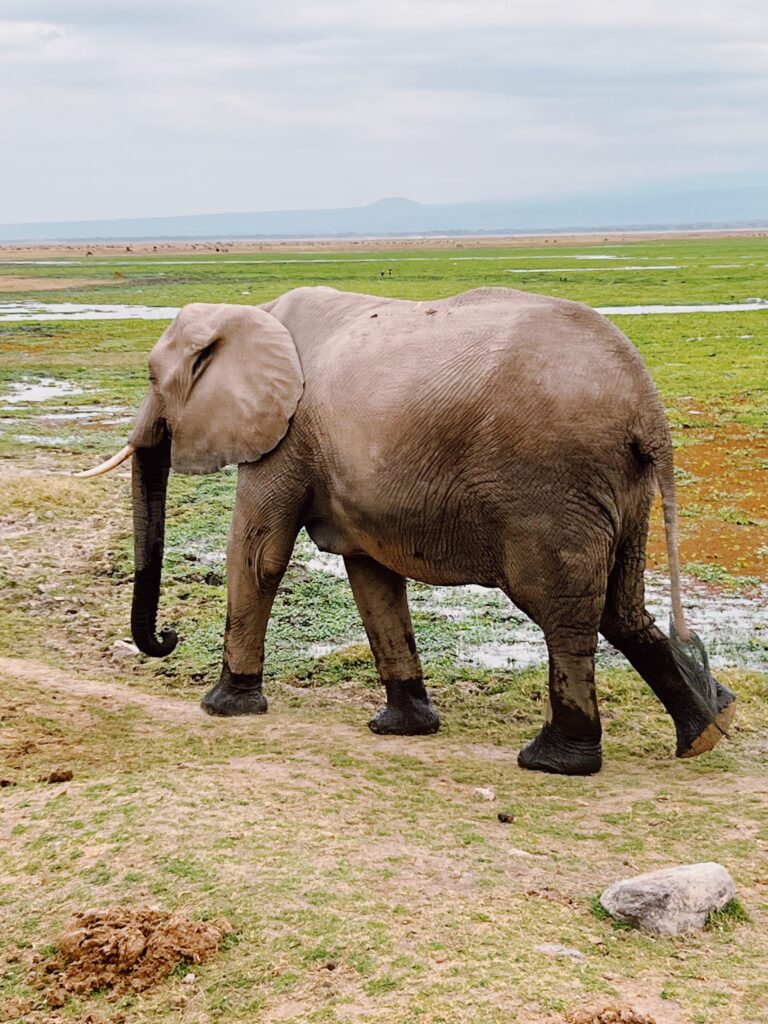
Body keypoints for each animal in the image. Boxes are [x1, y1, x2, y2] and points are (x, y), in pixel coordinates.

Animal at [81, 284, 737, 770]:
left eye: (152, 378)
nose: (166, 638)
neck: (249, 313)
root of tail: (647, 407)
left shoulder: (287, 438)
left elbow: (258, 553)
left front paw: (222, 706)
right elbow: (371, 578)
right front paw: (401, 727)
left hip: (553, 483)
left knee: (564, 608)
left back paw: (554, 761)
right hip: (618, 486)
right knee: (620, 606)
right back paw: (708, 728)